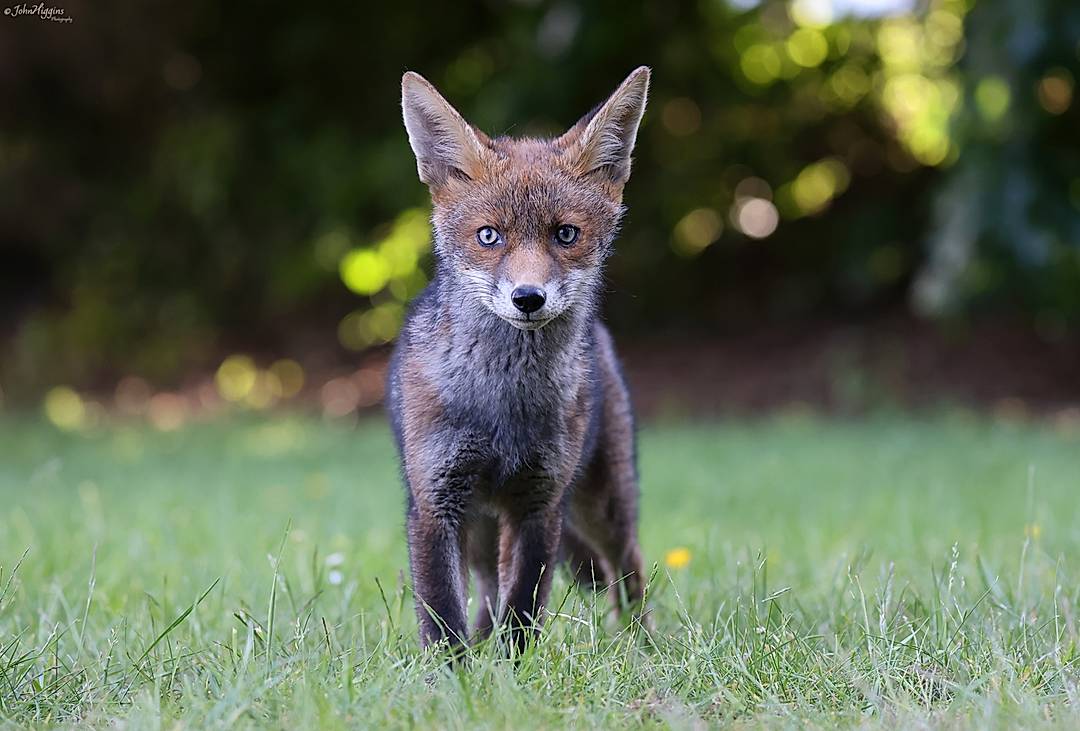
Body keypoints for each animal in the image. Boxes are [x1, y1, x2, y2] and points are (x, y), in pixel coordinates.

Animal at [387, 66, 651, 653]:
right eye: (490, 235)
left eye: (565, 234)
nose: (528, 298)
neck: (502, 407)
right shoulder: (435, 499)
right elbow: (443, 613)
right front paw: (454, 673)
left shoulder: (540, 501)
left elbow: (525, 604)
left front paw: (513, 669)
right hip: (482, 527)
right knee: (486, 589)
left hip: (600, 504)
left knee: (628, 566)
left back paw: (643, 647)